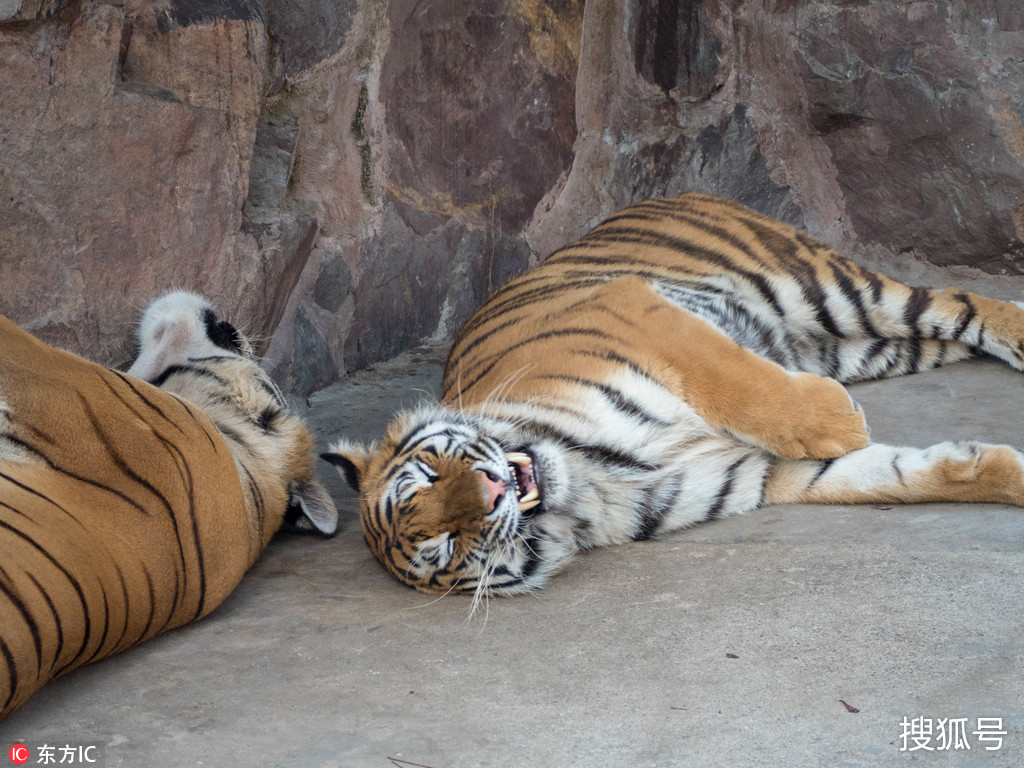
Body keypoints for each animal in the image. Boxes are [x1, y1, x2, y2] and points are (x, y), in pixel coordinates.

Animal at [325, 189, 1024, 598]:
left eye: (433, 471)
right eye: (446, 545)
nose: (493, 491)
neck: (592, 478)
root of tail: (675, 189)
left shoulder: (630, 306)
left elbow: (737, 380)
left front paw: (836, 421)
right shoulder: (760, 475)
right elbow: (902, 476)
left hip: (827, 289)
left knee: (958, 300)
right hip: (868, 345)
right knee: (950, 328)